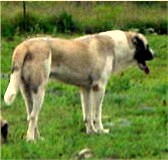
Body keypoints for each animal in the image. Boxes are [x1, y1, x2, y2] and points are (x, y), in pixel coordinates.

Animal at [3, 30, 154, 141]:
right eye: (146, 46)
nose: (154, 54)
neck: (115, 46)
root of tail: (24, 46)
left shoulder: (85, 89)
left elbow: (87, 114)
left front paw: (91, 132)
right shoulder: (99, 87)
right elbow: (97, 114)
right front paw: (100, 131)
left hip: (27, 93)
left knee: (31, 116)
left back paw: (38, 138)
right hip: (39, 91)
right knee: (34, 116)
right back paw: (30, 140)